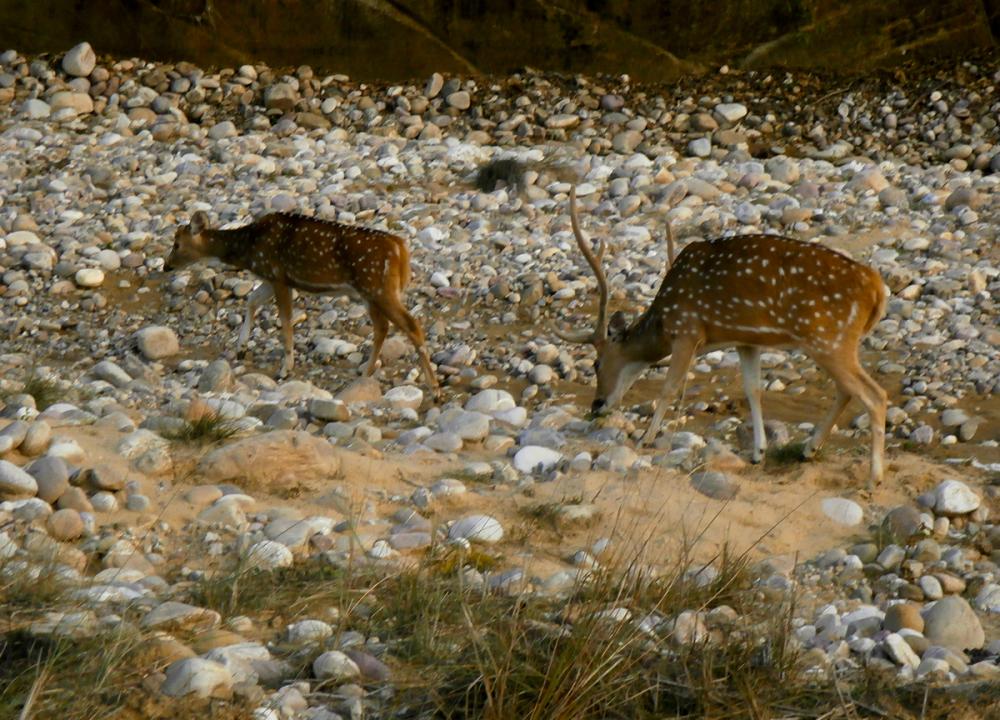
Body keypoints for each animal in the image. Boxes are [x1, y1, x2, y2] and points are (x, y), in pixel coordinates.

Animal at [164, 208, 438, 400]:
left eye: (176, 244)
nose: (165, 266)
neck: (249, 248)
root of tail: (401, 249)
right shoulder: (271, 277)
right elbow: (252, 300)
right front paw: (241, 347)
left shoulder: (279, 275)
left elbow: (285, 320)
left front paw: (286, 369)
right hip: (372, 293)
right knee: (382, 327)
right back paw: (365, 373)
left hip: (378, 288)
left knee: (411, 326)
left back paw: (434, 389)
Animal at [556, 187, 892, 490]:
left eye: (597, 363)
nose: (597, 405)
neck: (664, 321)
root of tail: (876, 287)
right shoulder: (746, 340)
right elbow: (753, 389)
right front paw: (758, 452)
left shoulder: (688, 330)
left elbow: (669, 386)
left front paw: (646, 437)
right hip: (835, 342)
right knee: (847, 389)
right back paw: (809, 449)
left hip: (827, 338)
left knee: (874, 394)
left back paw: (873, 479)